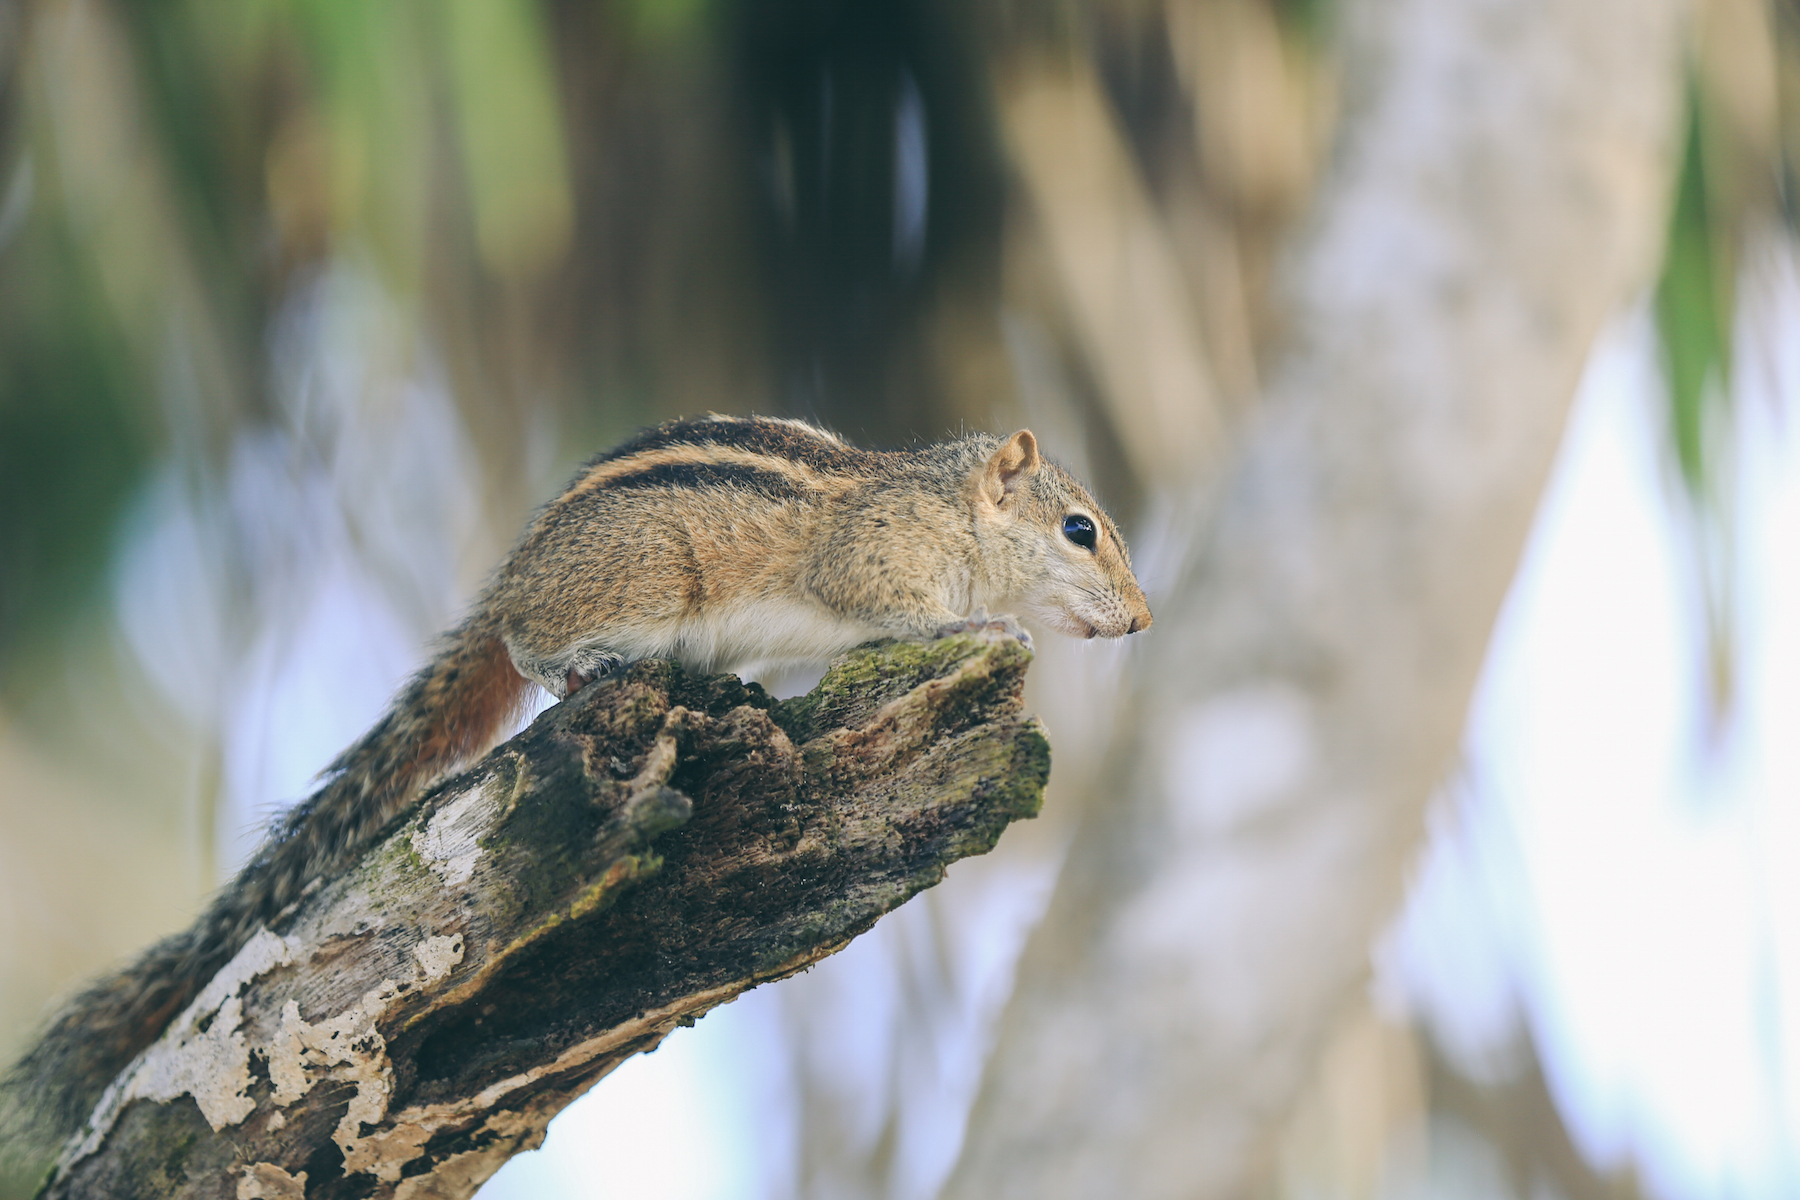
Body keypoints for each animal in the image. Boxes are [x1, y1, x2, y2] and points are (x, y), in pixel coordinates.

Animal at [0, 415, 1152, 1165]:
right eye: (1081, 529)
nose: (1142, 621)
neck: (946, 511)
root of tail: (512, 577)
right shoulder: (868, 568)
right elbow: (910, 613)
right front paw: (986, 625)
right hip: (638, 584)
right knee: (524, 642)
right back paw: (573, 663)